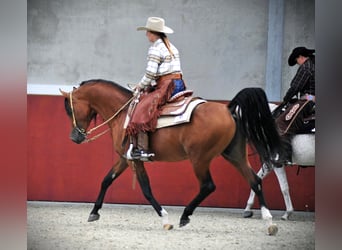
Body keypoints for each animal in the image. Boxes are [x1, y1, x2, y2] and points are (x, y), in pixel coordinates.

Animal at [60, 78, 286, 234]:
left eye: (70, 109)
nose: (74, 137)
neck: (123, 113)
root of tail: (228, 108)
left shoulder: (135, 160)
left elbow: (146, 189)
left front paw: (165, 219)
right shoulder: (126, 159)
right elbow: (107, 180)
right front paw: (94, 212)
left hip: (200, 159)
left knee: (208, 186)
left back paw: (185, 215)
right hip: (234, 155)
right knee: (255, 181)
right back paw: (269, 222)